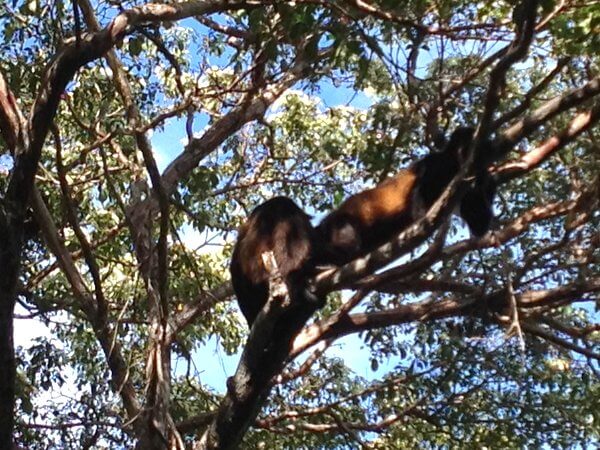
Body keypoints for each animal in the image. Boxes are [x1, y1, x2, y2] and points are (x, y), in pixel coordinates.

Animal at [316, 126, 494, 266]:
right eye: (471, 142)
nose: (486, 148)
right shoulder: (437, 164)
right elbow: (420, 195)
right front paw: (424, 220)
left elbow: (476, 215)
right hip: (340, 223)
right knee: (349, 243)